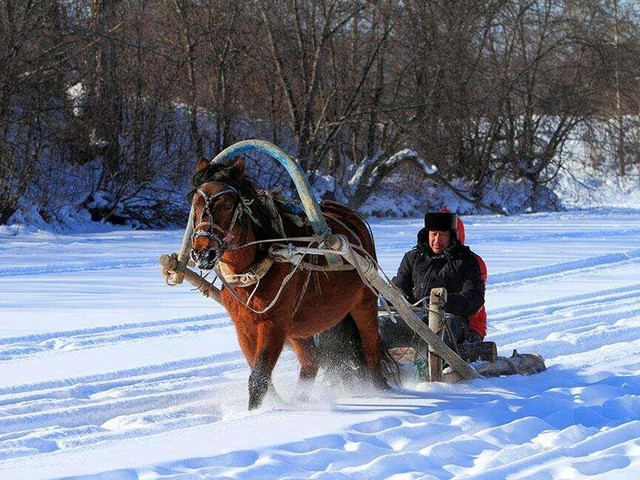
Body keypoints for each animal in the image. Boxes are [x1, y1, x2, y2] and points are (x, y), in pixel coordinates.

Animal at [189, 158, 390, 408]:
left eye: (227, 205)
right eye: (195, 204)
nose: (202, 252)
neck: (251, 271)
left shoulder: (274, 324)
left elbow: (259, 378)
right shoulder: (244, 327)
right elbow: (261, 375)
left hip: (364, 302)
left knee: (371, 352)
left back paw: (380, 389)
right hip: (300, 325)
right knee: (311, 361)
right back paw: (301, 400)